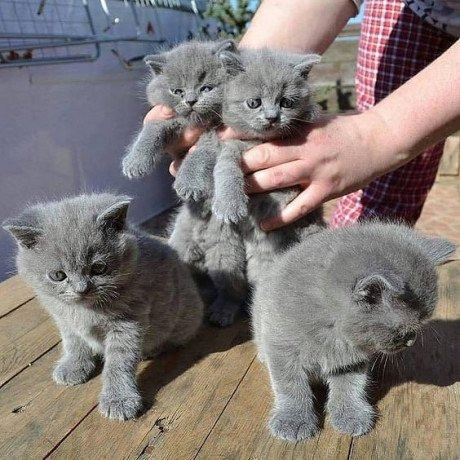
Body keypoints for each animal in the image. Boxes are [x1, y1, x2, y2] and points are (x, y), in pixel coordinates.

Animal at [2, 194, 203, 420]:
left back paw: (151, 350)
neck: (83, 310)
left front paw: (119, 399)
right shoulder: (63, 318)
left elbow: (118, 361)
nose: (81, 289)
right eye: (58, 275)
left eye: (99, 268)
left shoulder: (128, 321)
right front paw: (74, 365)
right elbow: (73, 342)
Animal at [253, 223, 454, 442]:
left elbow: (350, 386)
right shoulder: (282, 347)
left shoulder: (350, 361)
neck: (335, 336)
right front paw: (293, 419)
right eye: (403, 331)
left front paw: (350, 414)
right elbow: (291, 386)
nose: (411, 341)